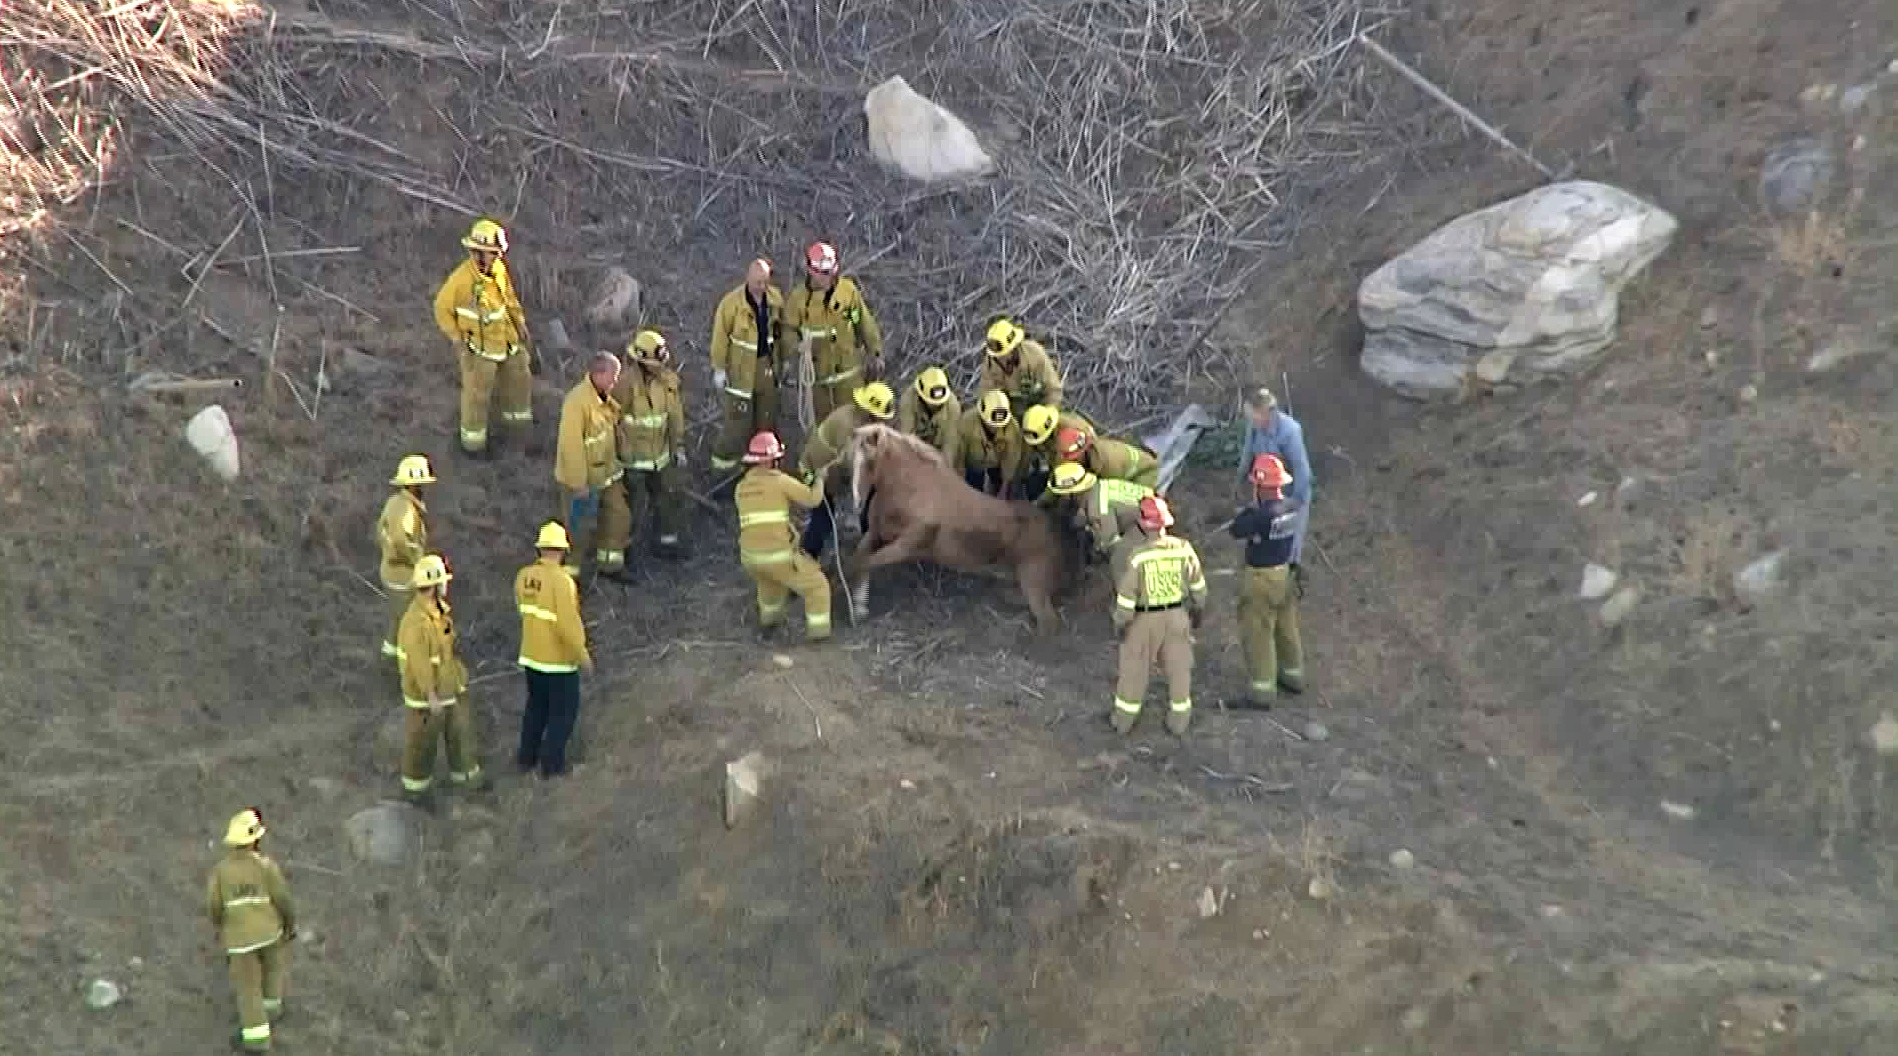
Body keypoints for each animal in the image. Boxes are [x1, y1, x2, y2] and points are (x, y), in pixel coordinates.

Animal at [842, 423, 1070, 634]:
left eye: (869, 462)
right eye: (848, 461)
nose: (856, 504)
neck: (912, 490)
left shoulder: (905, 547)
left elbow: (862, 562)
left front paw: (856, 608)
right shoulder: (875, 534)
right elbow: (858, 560)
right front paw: (859, 607)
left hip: (1033, 582)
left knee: (1049, 622)